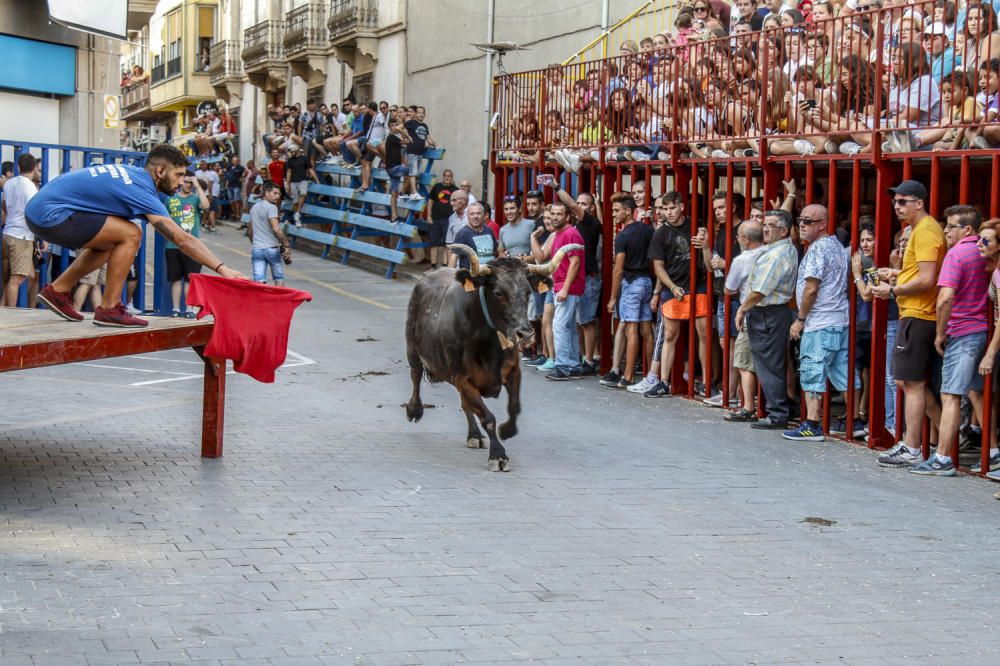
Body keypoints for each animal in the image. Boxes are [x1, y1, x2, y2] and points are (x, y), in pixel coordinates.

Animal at [404, 241, 584, 470]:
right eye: (499, 293)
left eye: (528, 292)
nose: (525, 333)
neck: (487, 341)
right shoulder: (462, 378)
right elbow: (488, 417)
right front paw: (498, 455)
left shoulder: (512, 372)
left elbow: (514, 407)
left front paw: (506, 431)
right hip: (412, 350)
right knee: (416, 376)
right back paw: (414, 410)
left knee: (464, 404)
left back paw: (474, 435)